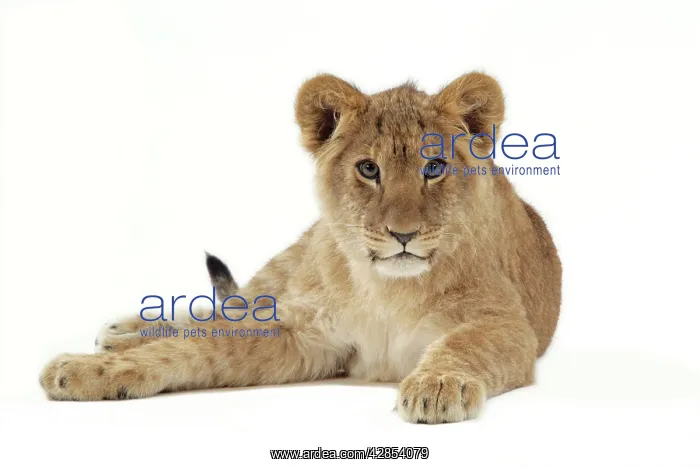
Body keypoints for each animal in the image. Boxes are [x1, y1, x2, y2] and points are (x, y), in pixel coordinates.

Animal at [39, 71, 562, 424]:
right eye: (368, 169)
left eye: (434, 168)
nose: (403, 234)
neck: (386, 289)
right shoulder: (307, 335)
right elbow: (196, 347)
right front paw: (85, 371)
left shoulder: (507, 326)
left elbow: (464, 345)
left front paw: (438, 385)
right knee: (229, 308)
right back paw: (122, 333)